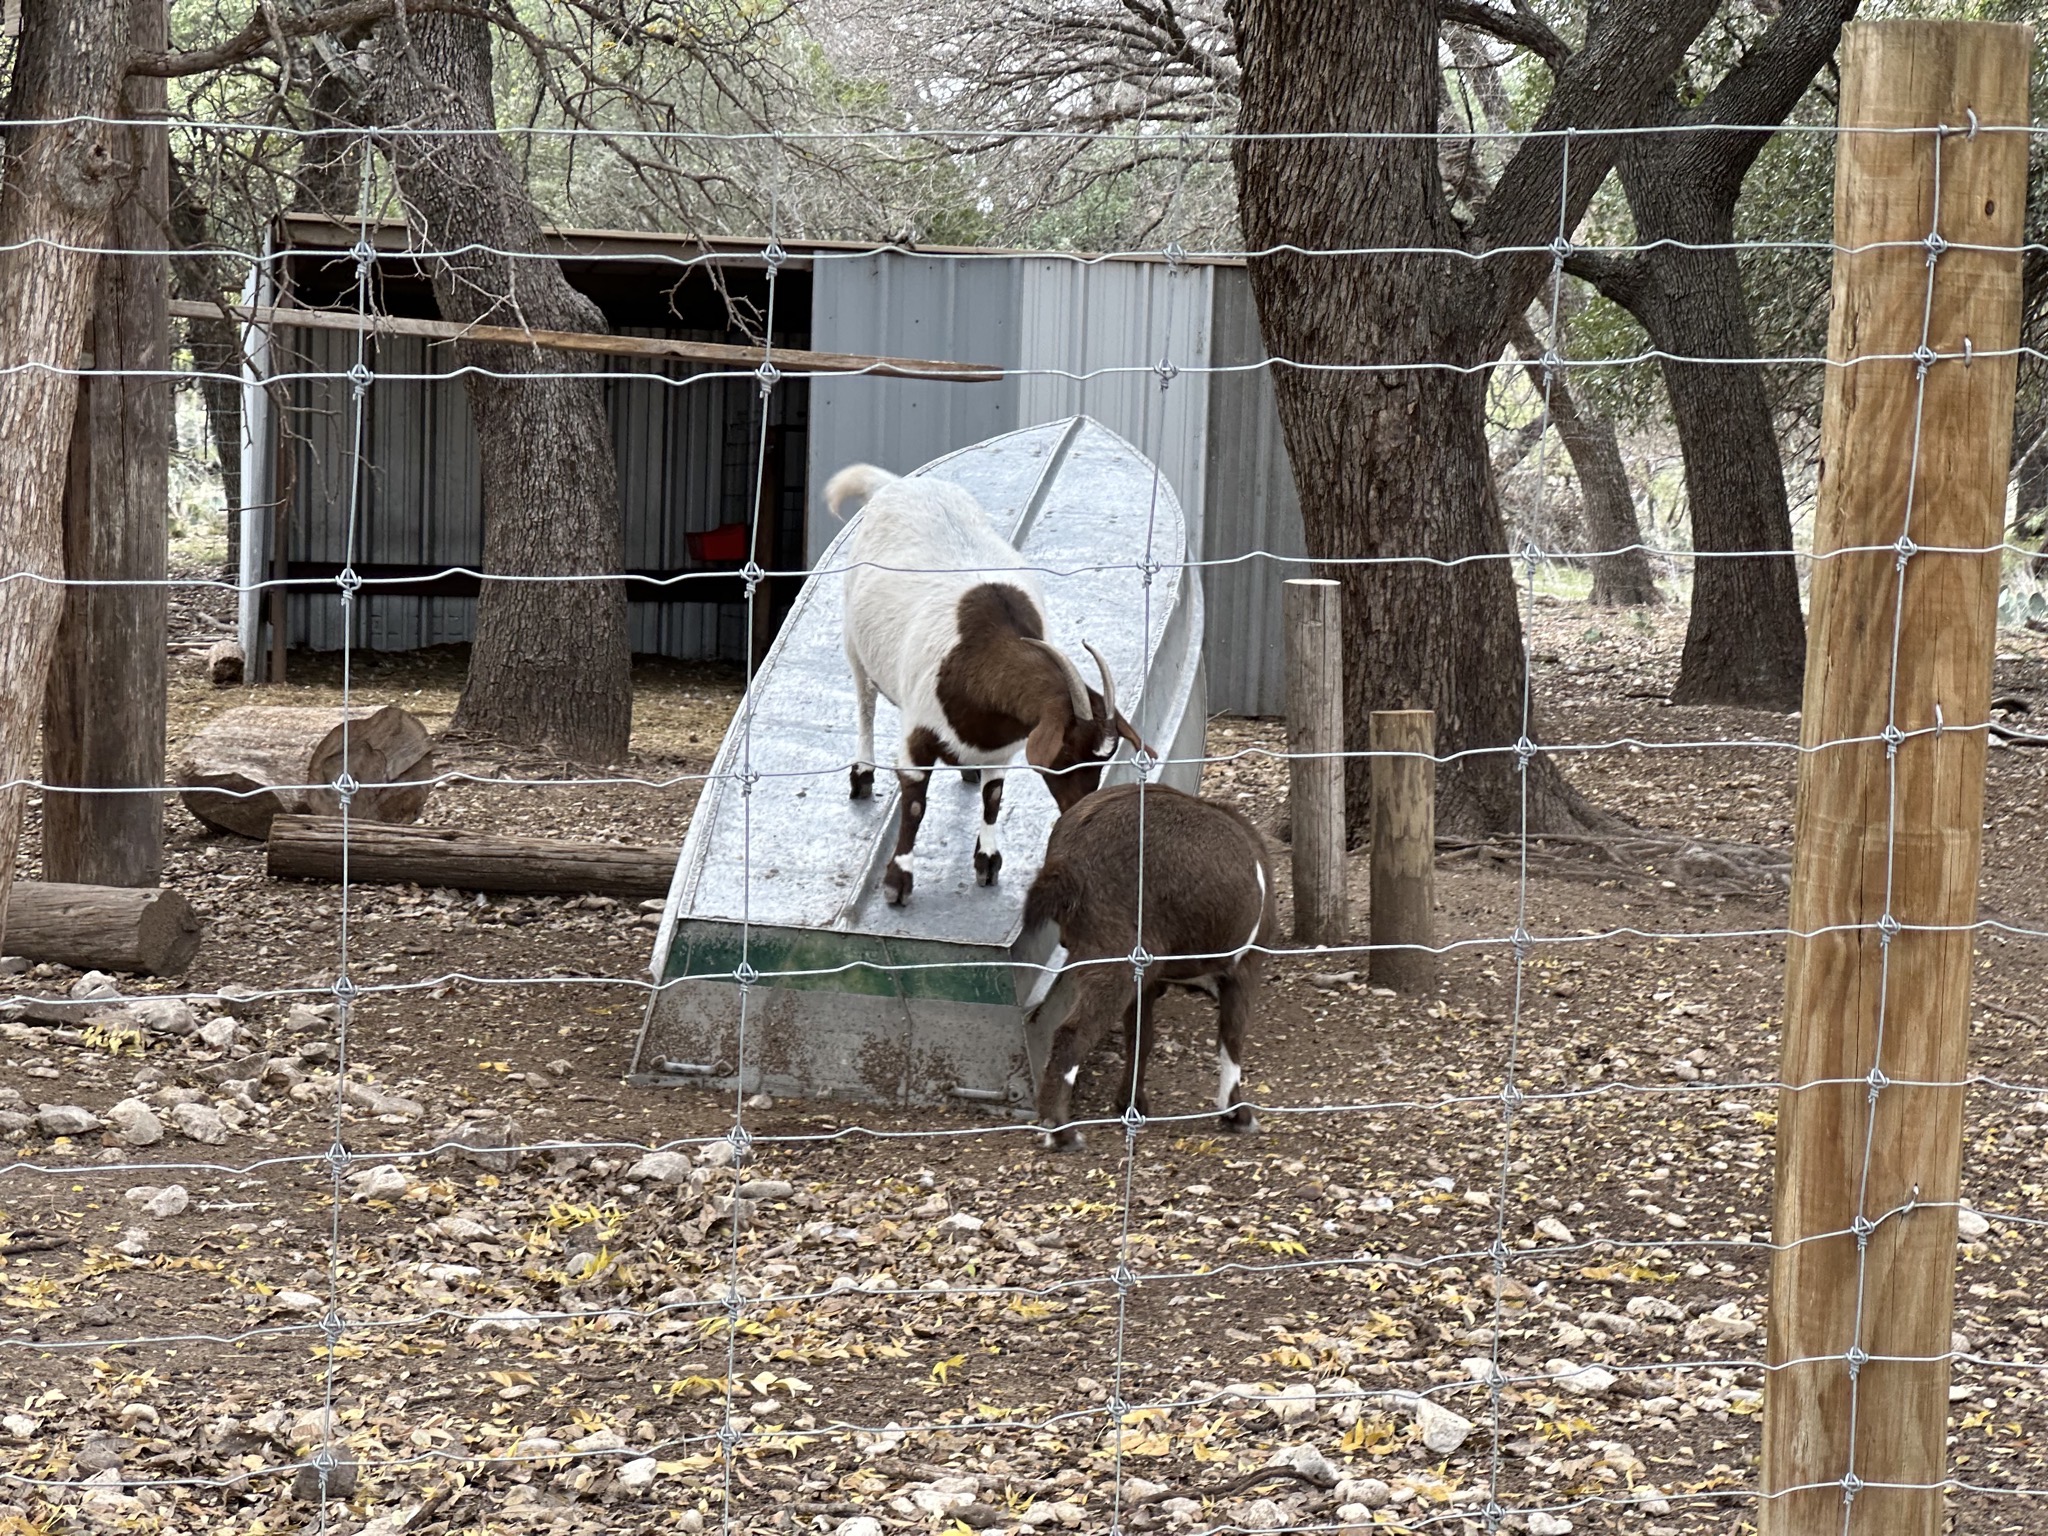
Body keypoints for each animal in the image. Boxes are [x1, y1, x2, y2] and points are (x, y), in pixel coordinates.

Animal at [825, 463, 1147, 905]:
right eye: (1067, 750)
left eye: (1104, 757)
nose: (1080, 807)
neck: (984, 647)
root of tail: (896, 485)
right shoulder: (916, 733)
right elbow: (914, 804)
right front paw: (897, 880)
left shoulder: (1004, 744)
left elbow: (993, 797)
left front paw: (988, 862)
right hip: (854, 641)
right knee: (865, 702)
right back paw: (862, 772)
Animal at [1022, 783, 1275, 1150]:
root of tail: (1066, 864)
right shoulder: (1244, 966)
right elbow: (1232, 1035)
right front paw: (1236, 1114)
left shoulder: (1149, 978)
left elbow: (1141, 1036)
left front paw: (1132, 1103)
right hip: (1114, 954)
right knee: (1071, 1033)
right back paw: (1061, 1132)